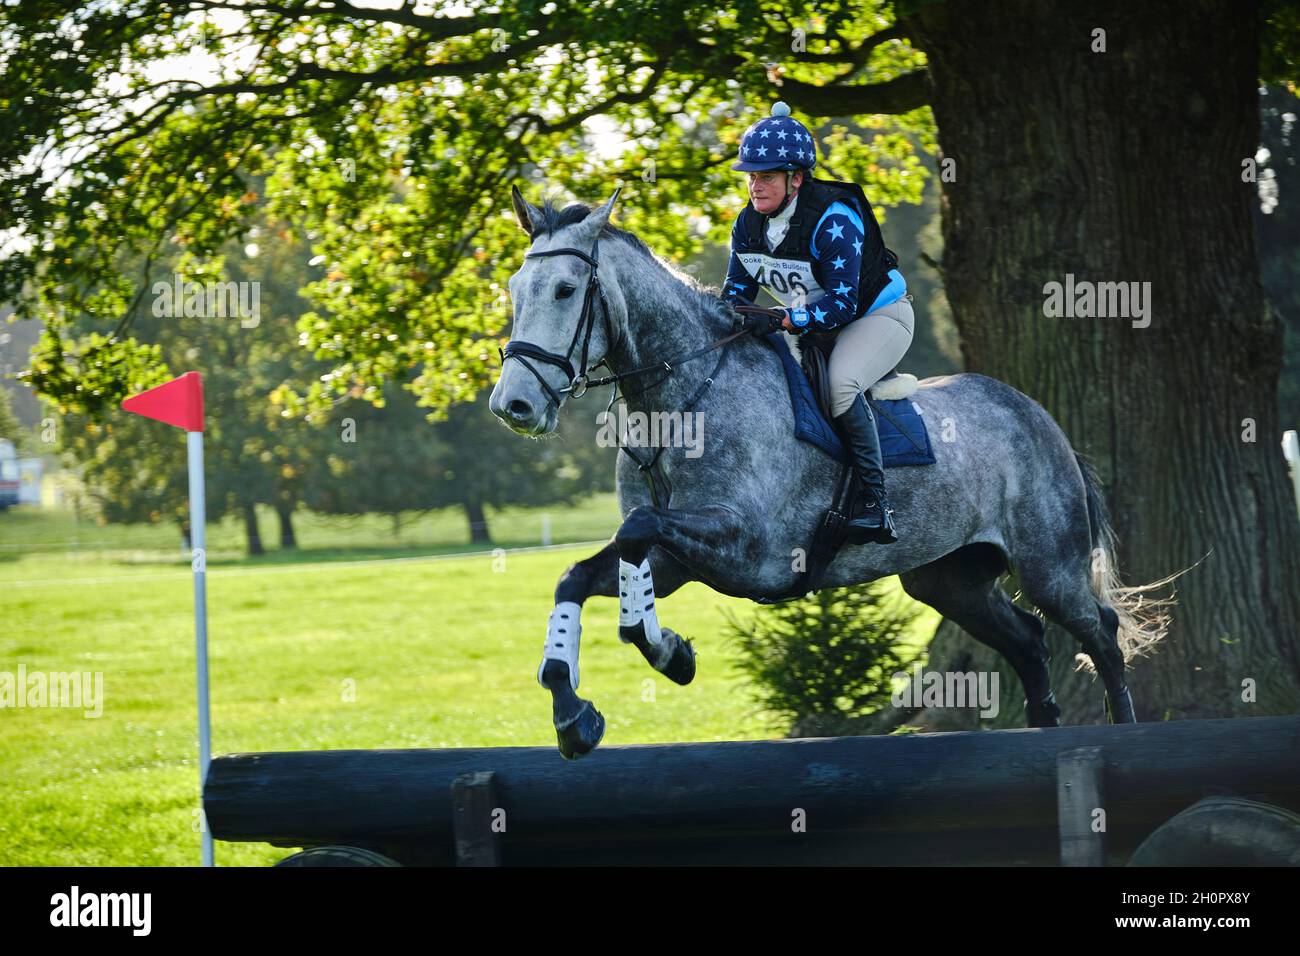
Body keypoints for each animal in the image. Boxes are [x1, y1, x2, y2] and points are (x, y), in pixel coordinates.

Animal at [488, 183, 1170, 759]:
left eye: (565, 291)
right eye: (515, 290)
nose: (512, 406)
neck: (683, 399)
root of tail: (1038, 417)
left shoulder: (747, 544)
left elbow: (634, 541)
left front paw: (669, 653)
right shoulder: (680, 558)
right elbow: (579, 577)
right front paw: (573, 714)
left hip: (1048, 564)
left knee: (1101, 634)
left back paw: (1123, 735)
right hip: (949, 579)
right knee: (1027, 641)